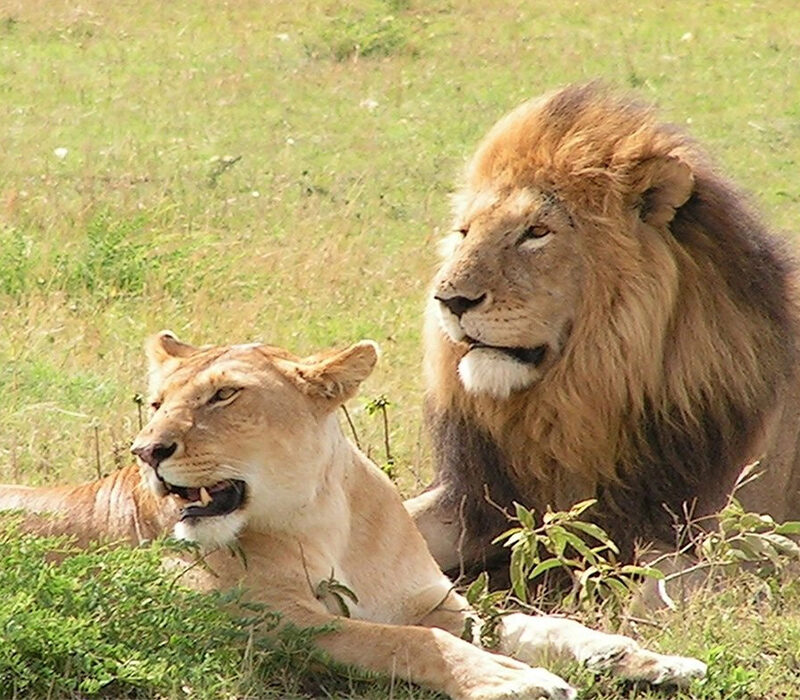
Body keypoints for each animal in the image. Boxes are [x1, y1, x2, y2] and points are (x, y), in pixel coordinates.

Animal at [0, 331, 706, 699]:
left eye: (224, 395)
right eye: (155, 403)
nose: (146, 451)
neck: (321, 518)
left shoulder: (436, 603)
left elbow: (535, 624)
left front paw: (642, 660)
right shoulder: (266, 623)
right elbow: (407, 641)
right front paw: (515, 681)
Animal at [405, 82, 800, 580]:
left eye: (536, 232)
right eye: (464, 232)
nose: (449, 300)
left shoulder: (748, 548)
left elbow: (653, 577)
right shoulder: (481, 501)